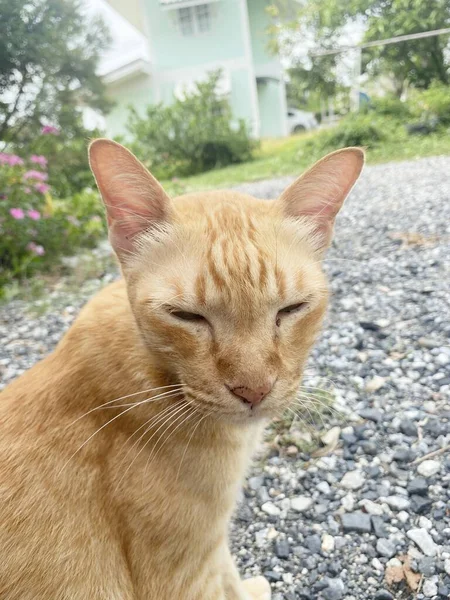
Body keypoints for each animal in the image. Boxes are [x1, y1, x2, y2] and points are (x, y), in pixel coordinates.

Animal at [0, 138, 364, 596]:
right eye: (186, 316)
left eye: (292, 309)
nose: (253, 390)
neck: (156, 374)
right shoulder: (186, 573)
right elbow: (227, 583)